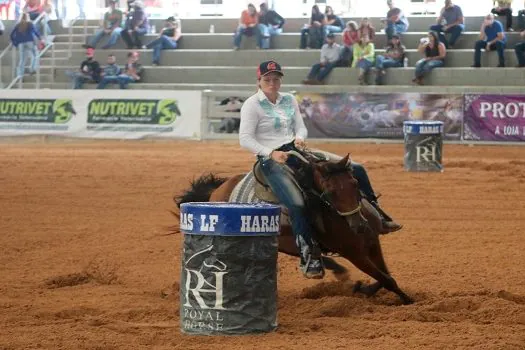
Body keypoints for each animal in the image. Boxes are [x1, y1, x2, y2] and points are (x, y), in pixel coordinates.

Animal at [175, 152, 414, 304]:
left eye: (355, 184)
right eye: (329, 193)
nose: (358, 227)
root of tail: (219, 189)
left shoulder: (373, 243)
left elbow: (385, 275)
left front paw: (364, 289)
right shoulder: (354, 253)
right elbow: (386, 279)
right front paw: (408, 301)